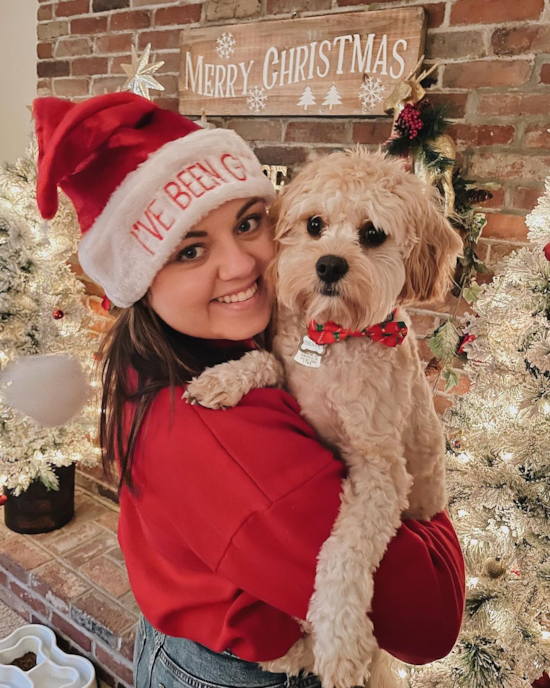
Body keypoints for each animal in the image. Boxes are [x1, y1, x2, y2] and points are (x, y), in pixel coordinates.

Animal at [187, 150, 466, 688]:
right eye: (314, 224)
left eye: (372, 233)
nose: (329, 263)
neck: (336, 338)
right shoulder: (290, 371)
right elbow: (265, 360)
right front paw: (222, 379)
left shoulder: (381, 470)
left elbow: (346, 550)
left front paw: (341, 643)